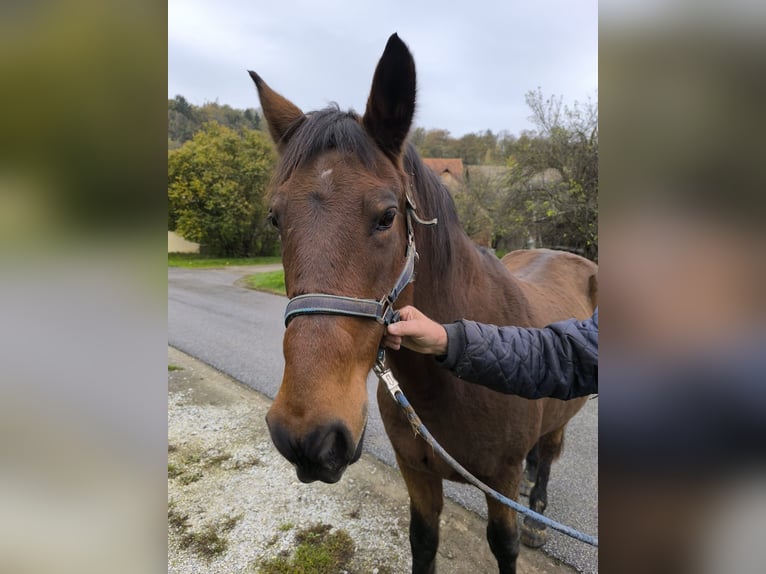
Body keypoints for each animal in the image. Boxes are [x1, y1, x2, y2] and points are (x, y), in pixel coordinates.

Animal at [252, 35, 600, 574]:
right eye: (275, 219)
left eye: (387, 216)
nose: (306, 435)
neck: (451, 385)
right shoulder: (416, 472)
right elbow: (423, 540)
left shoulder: (498, 482)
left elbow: (505, 544)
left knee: (548, 451)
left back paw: (539, 510)